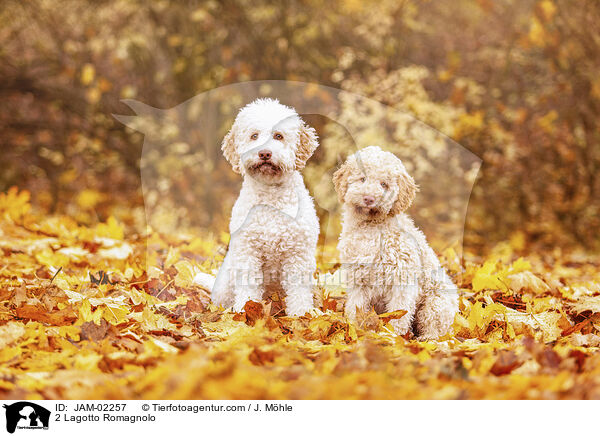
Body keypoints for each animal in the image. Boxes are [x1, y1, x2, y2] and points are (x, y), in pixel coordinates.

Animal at [212, 99, 322, 316]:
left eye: (279, 136)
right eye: (254, 135)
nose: (264, 153)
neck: (271, 196)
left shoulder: (298, 254)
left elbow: (298, 290)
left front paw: (301, 315)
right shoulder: (248, 252)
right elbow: (247, 287)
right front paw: (245, 312)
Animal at [332, 146, 460, 338]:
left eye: (384, 184)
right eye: (362, 179)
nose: (369, 198)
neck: (371, 227)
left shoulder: (402, 280)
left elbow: (399, 313)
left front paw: (393, 335)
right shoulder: (358, 279)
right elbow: (357, 306)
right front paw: (356, 328)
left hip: (436, 303)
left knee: (436, 328)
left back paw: (427, 337)